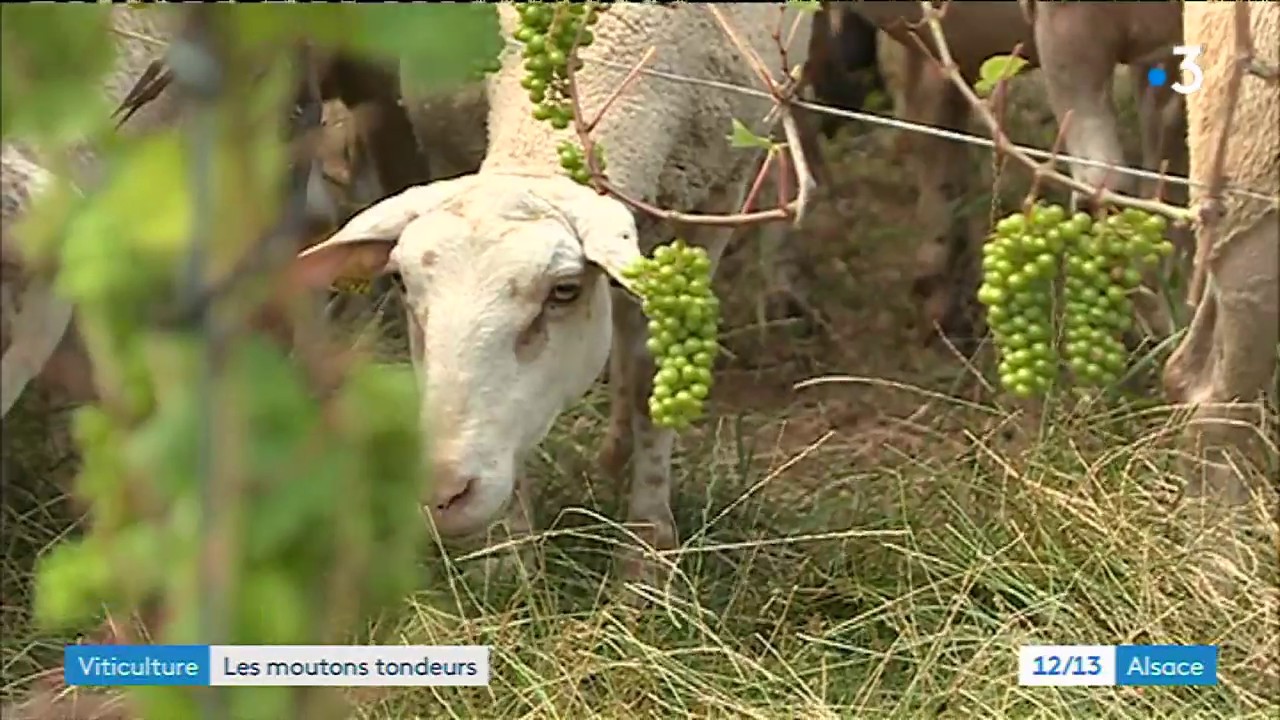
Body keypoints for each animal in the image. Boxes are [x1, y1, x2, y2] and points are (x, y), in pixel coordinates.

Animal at [293, 2, 814, 583]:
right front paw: (509, 556)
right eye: (403, 282)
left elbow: (653, 371)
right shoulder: (446, 138)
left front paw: (645, 556)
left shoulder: (712, 202)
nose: (442, 494)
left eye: (563, 291)